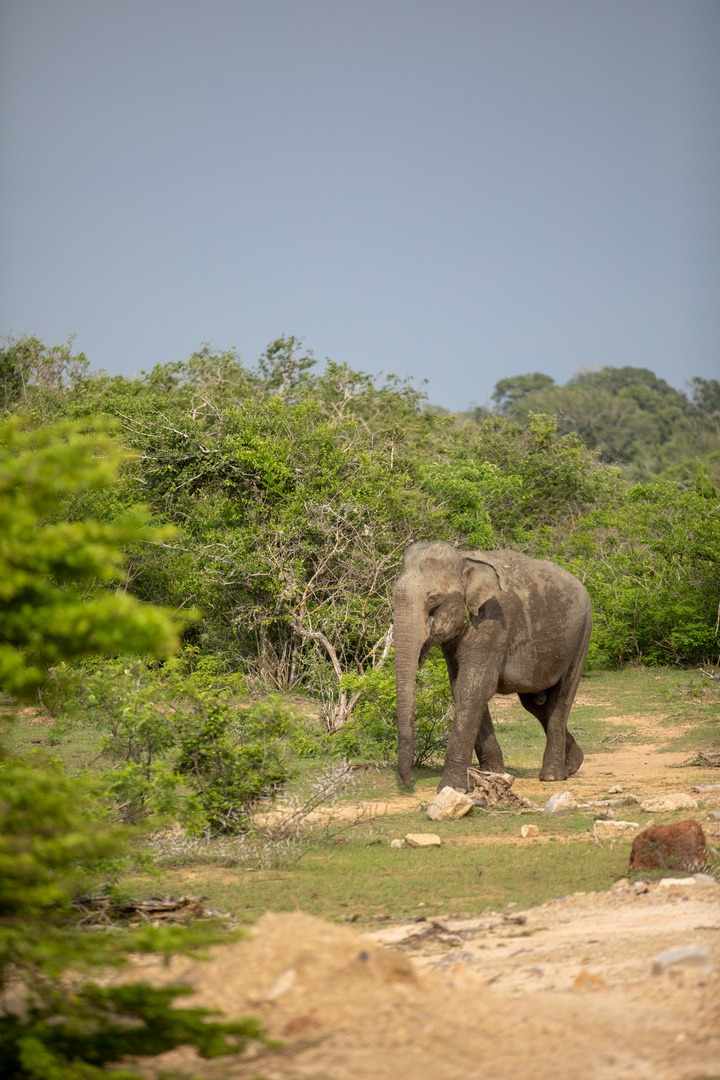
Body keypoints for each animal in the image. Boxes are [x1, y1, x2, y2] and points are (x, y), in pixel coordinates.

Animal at [395, 544, 591, 790]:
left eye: (433, 598)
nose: (411, 781)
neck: (464, 561)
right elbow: (460, 688)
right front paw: (493, 774)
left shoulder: (494, 619)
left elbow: (473, 689)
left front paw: (452, 787)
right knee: (535, 704)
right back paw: (573, 764)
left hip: (582, 636)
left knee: (561, 697)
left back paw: (552, 775)